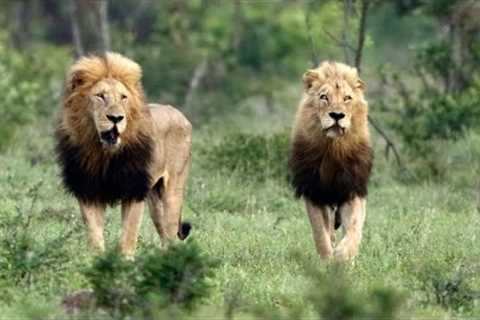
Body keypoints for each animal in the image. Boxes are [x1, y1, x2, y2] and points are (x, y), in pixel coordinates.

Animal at [55, 52, 192, 258]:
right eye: (100, 96)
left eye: (123, 97)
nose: (116, 118)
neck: (104, 154)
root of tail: (179, 113)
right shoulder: (88, 190)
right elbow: (94, 233)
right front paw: (96, 260)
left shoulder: (133, 190)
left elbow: (129, 233)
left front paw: (125, 261)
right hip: (154, 199)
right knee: (163, 233)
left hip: (173, 190)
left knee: (171, 233)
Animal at [286, 61, 374, 262]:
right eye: (323, 97)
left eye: (347, 98)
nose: (337, 115)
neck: (333, 149)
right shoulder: (315, 192)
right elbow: (320, 233)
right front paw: (327, 259)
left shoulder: (352, 190)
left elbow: (354, 227)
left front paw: (343, 256)